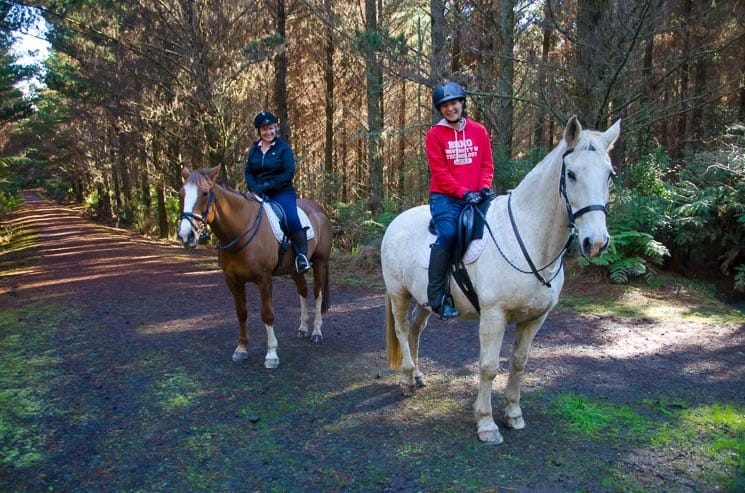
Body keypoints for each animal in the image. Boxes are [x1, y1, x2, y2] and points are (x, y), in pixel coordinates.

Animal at [177, 164, 332, 366]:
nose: (185, 235)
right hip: (294, 269)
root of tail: (320, 209)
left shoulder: (263, 279)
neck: (241, 229)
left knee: (317, 293)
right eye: (181, 193)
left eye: (204, 193)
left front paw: (272, 354)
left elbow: (267, 314)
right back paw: (303, 328)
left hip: (320, 262)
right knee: (303, 291)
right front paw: (241, 349)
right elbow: (241, 312)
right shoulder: (232, 280)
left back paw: (316, 332)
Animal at [380, 115, 620, 442]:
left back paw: (417, 374)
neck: (529, 238)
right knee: (403, 331)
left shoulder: (534, 319)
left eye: (610, 175)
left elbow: (519, 363)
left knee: (416, 330)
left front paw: (513, 414)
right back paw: (406, 380)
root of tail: (395, 223)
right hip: (399, 294)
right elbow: (489, 367)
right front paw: (486, 423)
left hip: (426, 299)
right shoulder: (494, 316)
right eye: (570, 174)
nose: (595, 242)